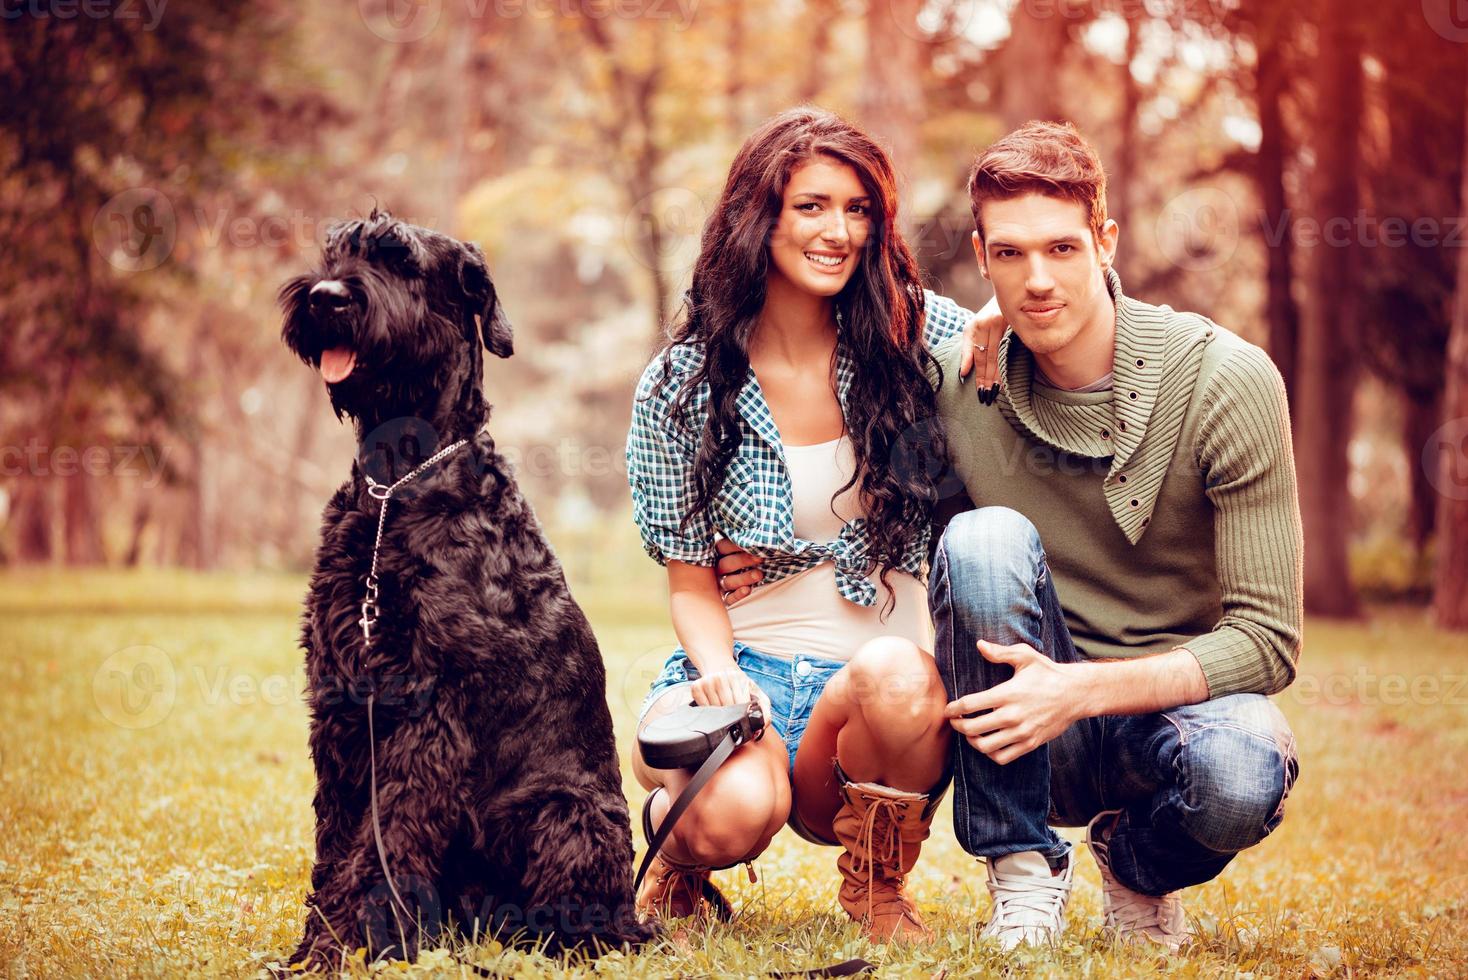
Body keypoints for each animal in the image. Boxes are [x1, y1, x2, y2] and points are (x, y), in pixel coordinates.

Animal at [277, 211, 651, 968]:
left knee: (587, 920)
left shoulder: (427, 708)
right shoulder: (341, 694)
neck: (397, 484)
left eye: (403, 261)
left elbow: (384, 836)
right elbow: (338, 838)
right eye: (336, 250)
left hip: (566, 812)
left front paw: (354, 944)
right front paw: (318, 945)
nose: (326, 297)